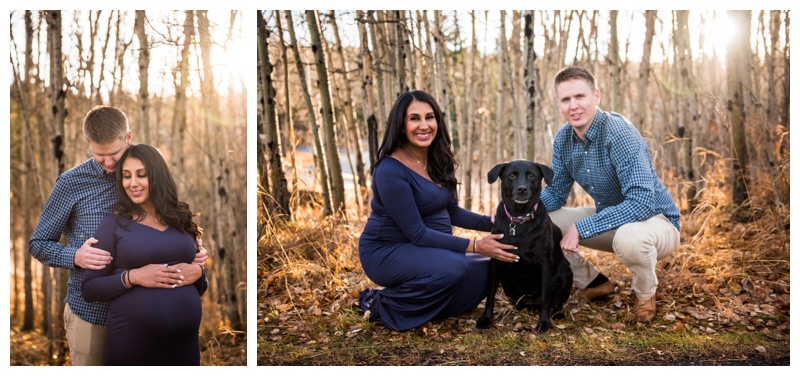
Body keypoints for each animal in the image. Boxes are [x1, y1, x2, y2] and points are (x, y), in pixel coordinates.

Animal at [478, 160, 572, 330]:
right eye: (512, 175)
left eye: (532, 176)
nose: (522, 189)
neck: (519, 219)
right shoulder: (496, 260)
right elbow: (490, 294)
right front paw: (486, 318)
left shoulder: (545, 262)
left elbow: (546, 297)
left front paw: (544, 322)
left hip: (566, 274)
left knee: (555, 302)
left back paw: (557, 313)